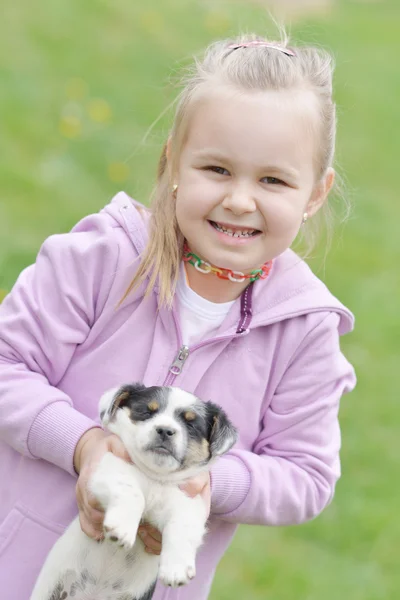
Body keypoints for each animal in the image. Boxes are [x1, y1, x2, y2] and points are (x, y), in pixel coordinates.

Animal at [32, 384, 238, 600]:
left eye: (190, 424)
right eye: (147, 412)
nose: (165, 430)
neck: (154, 478)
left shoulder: (188, 503)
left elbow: (182, 527)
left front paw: (176, 568)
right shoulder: (109, 470)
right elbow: (132, 493)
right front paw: (122, 529)